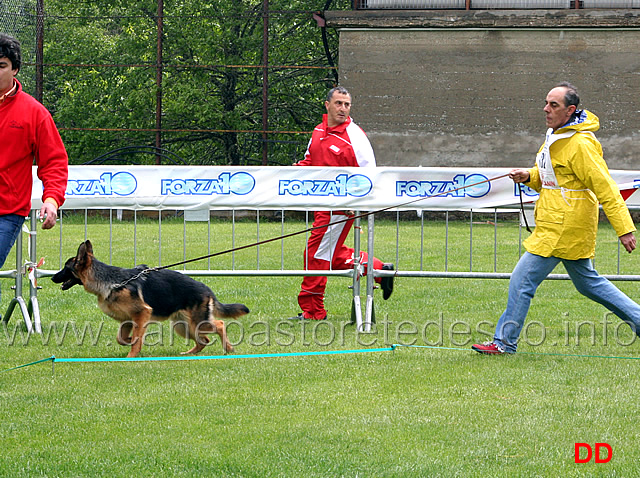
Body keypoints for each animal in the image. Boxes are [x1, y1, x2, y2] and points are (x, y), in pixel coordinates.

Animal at [52, 241, 250, 356]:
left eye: (65, 268)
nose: (53, 278)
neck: (111, 281)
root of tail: (207, 290)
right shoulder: (127, 320)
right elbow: (121, 338)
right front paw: (130, 341)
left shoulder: (141, 313)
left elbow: (135, 338)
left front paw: (131, 356)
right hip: (182, 326)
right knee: (204, 340)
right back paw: (189, 353)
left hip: (197, 323)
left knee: (220, 325)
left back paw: (229, 349)